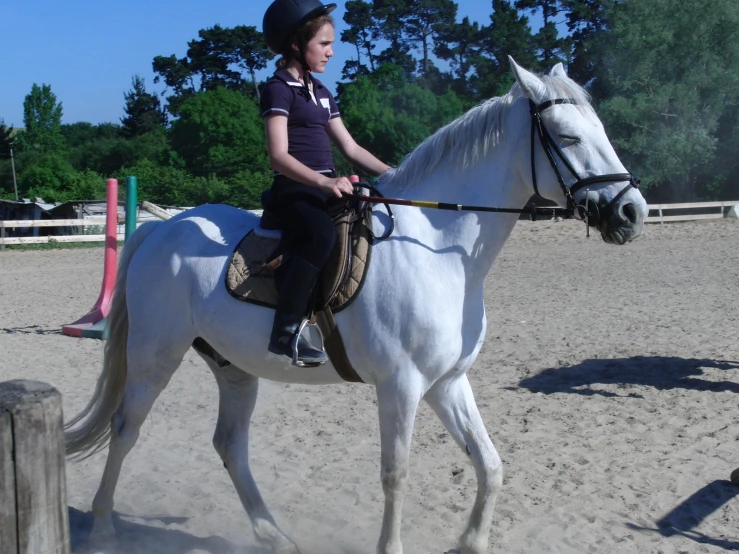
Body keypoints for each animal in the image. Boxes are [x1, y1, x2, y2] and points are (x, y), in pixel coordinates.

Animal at [68, 58, 648, 548]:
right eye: (569, 137)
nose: (632, 212)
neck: (437, 249)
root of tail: (163, 229)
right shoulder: (401, 385)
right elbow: (396, 474)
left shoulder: (447, 382)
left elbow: (490, 464)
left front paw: (471, 542)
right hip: (155, 355)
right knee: (124, 430)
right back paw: (103, 529)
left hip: (233, 367)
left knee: (229, 445)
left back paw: (273, 536)